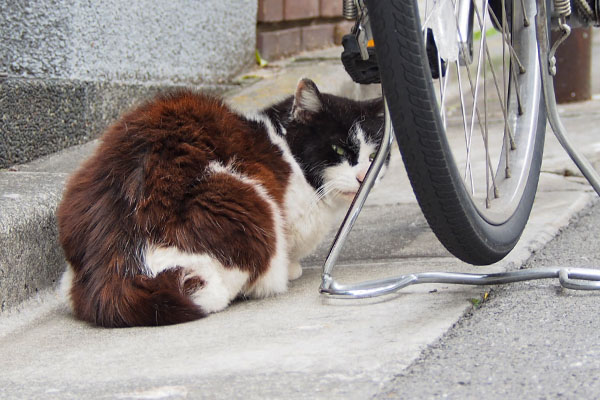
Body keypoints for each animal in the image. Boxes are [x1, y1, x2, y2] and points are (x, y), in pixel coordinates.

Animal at [57, 79, 390, 328]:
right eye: (338, 149)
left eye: (374, 156)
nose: (364, 177)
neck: (286, 147)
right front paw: (292, 267)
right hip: (248, 201)